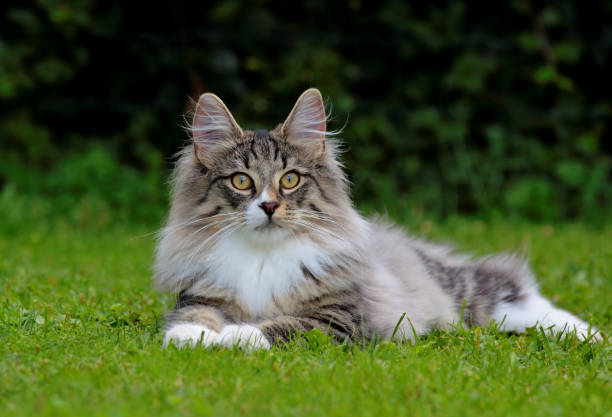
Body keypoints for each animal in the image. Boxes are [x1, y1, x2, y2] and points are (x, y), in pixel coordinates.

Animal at [155, 88, 600, 348]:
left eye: (290, 179)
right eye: (242, 181)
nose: (268, 206)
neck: (262, 257)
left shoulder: (338, 320)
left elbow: (278, 327)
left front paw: (235, 335)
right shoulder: (201, 295)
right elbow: (195, 315)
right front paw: (191, 336)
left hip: (466, 292)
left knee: (512, 290)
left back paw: (590, 335)